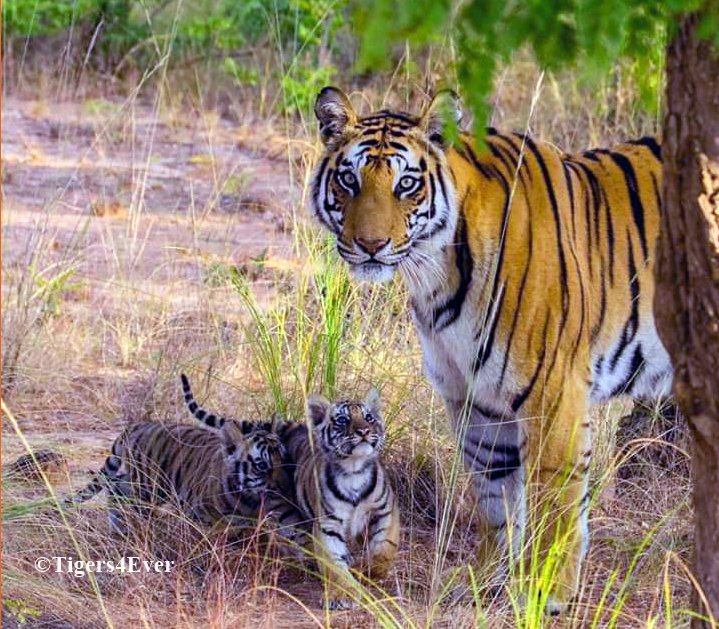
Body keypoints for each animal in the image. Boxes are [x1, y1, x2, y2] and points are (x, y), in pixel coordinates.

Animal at [66, 378, 287, 535]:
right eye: (261, 465)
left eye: (286, 460)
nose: (284, 490)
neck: (249, 499)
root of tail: (136, 426)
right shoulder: (200, 511)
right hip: (148, 485)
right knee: (121, 491)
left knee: (116, 486)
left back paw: (117, 526)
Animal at [279, 389, 399, 610]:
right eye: (343, 420)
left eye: (369, 417)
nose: (363, 431)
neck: (354, 470)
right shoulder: (328, 525)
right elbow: (334, 565)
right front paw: (343, 595)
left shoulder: (386, 510)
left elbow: (385, 547)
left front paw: (369, 571)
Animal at [309, 86, 672, 613]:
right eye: (349, 180)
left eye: (406, 184)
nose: (370, 245)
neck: (437, 277)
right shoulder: (474, 399)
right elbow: (492, 497)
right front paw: (484, 578)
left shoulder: (554, 393)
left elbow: (554, 496)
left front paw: (546, 592)